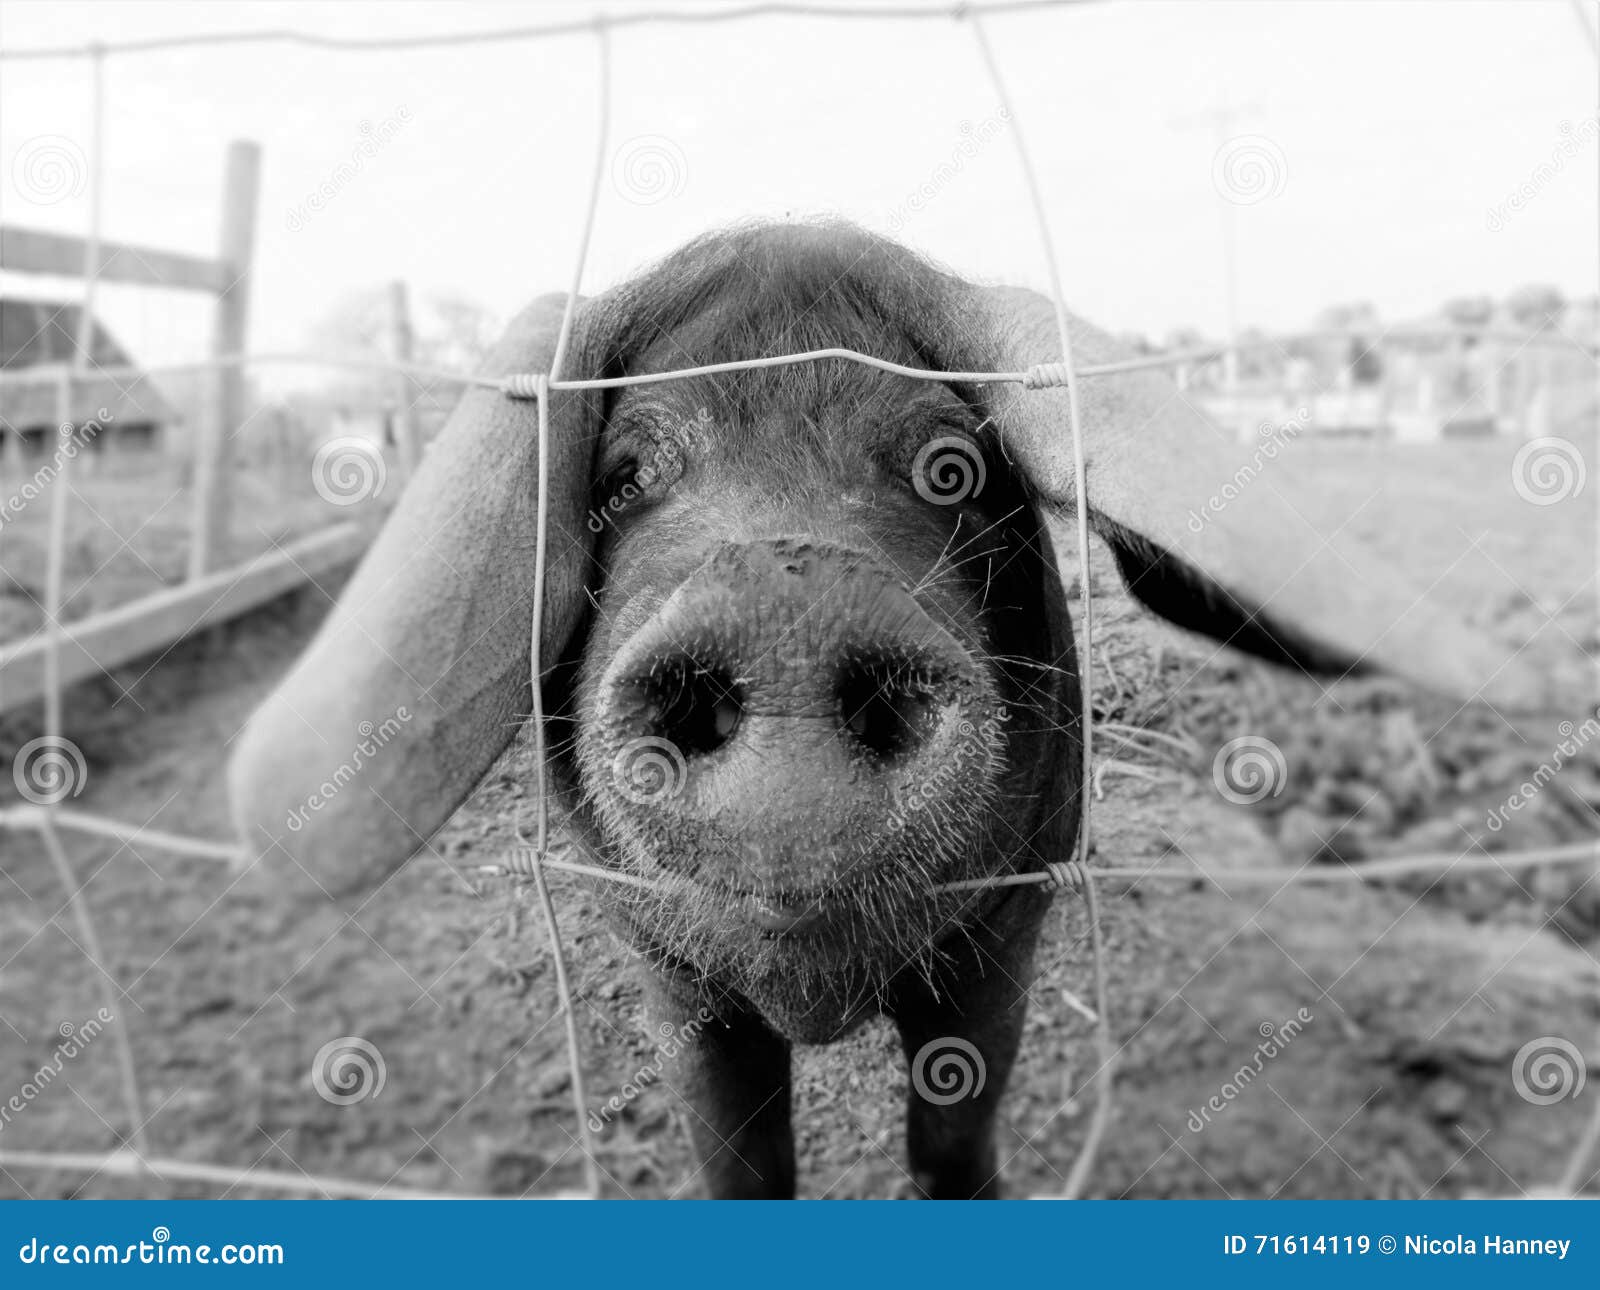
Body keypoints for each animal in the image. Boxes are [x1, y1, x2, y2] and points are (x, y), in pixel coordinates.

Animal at [229, 221, 1560, 1198]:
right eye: (626, 473)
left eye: (948, 468)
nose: (784, 597)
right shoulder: (664, 962)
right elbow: (737, 1160)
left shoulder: (1008, 916)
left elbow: (953, 1133)